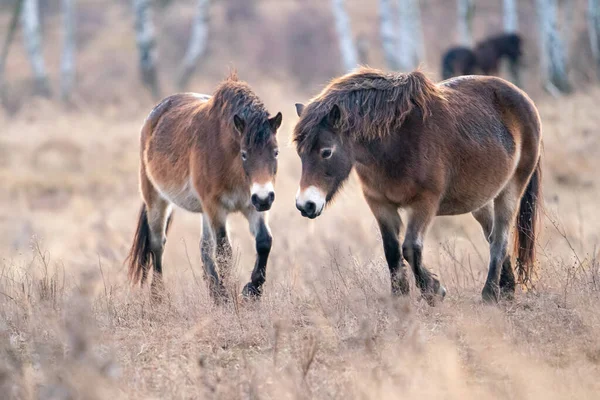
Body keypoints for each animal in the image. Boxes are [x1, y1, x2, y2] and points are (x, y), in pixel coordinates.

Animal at [125, 73, 284, 302]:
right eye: (244, 154)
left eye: (276, 152)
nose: (264, 198)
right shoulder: (215, 207)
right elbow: (224, 251)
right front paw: (234, 295)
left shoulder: (252, 205)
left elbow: (263, 242)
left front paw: (251, 292)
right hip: (156, 199)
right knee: (157, 244)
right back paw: (159, 297)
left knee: (204, 248)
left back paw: (217, 294)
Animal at [292, 67, 540, 304]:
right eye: (300, 153)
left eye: (326, 152)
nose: (306, 205)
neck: (394, 144)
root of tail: (523, 98)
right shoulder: (379, 203)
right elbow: (391, 249)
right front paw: (399, 296)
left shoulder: (424, 203)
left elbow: (410, 248)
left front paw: (433, 291)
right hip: (481, 200)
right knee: (492, 235)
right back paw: (506, 288)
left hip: (511, 189)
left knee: (500, 238)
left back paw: (489, 294)